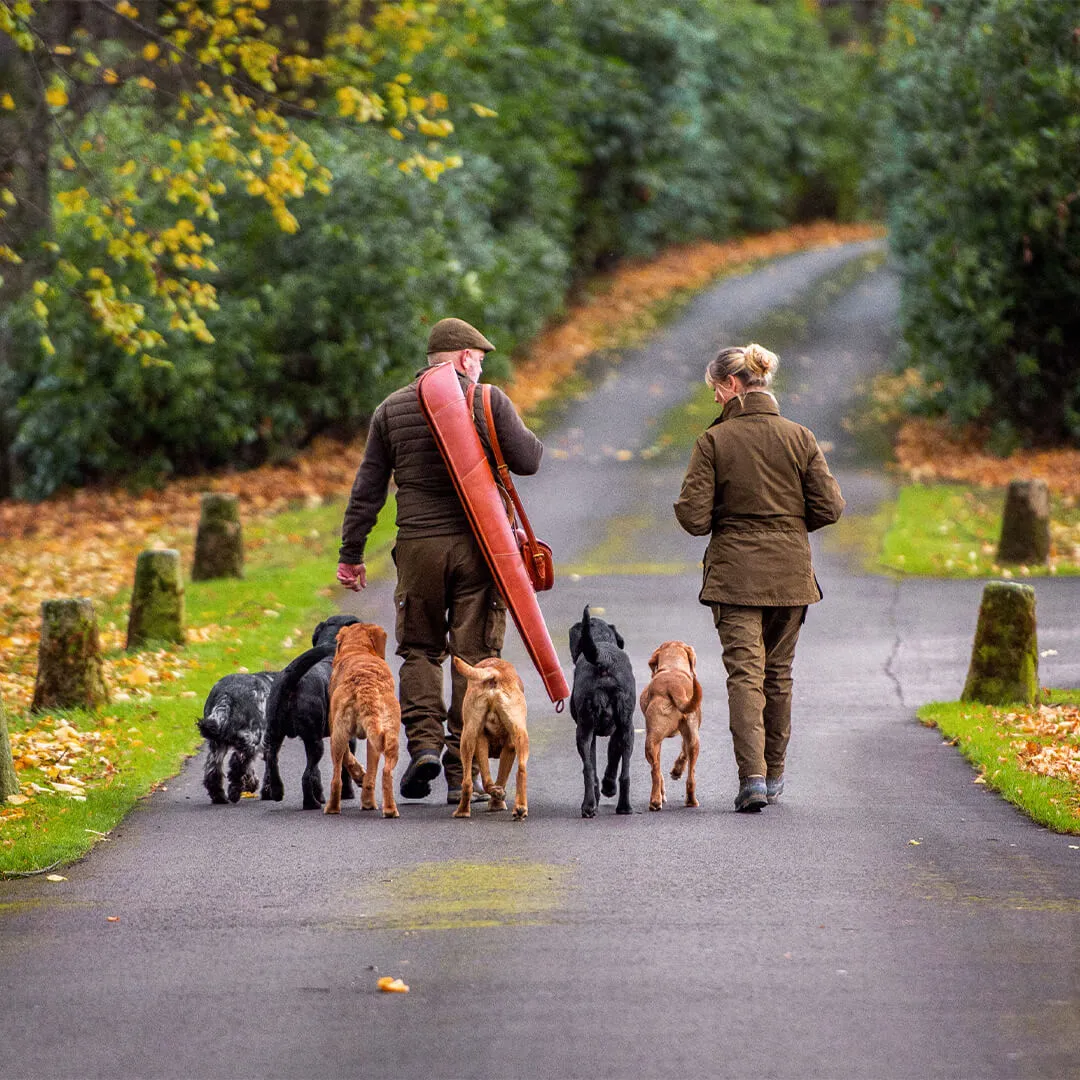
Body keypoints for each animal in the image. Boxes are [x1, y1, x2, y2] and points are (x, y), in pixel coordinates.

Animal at [326, 626, 403, 816]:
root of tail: (366, 685)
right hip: (389, 736)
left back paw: (333, 808)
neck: (358, 649)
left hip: (340, 735)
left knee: (337, 779)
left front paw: (359, 774)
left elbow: (348, 757)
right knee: (385, 772)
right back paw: (387, 809)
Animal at [449, 652, 529, 820]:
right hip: (517, 736)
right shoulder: (510, 747)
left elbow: (491, 779)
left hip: (468, 737)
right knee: (520, 770)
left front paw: (496, 798)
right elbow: (501, 778)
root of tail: (495, 672)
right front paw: (497, 803)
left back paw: (463, 811)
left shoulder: (484, 741)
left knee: (469, 782)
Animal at [570, 609, 635, 816]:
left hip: (584, 729)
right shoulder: (617, 730)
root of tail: (603, 659)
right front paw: (607, 788)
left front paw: (605, 789)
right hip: (626, 729)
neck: (601, 640)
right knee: (624, 773)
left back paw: (589, 805)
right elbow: (612, 758)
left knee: (588, 770)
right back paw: (623, 806)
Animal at [635, 639, 704, 812]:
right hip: (694, 741)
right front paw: (676, 771)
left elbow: (658, 769)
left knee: (655, 771)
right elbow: (683, 754)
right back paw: (691, 801)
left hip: (651, 742)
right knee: (691, 777)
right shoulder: (688, 736)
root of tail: (674, 686)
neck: (673, 667)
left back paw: (655, 800)